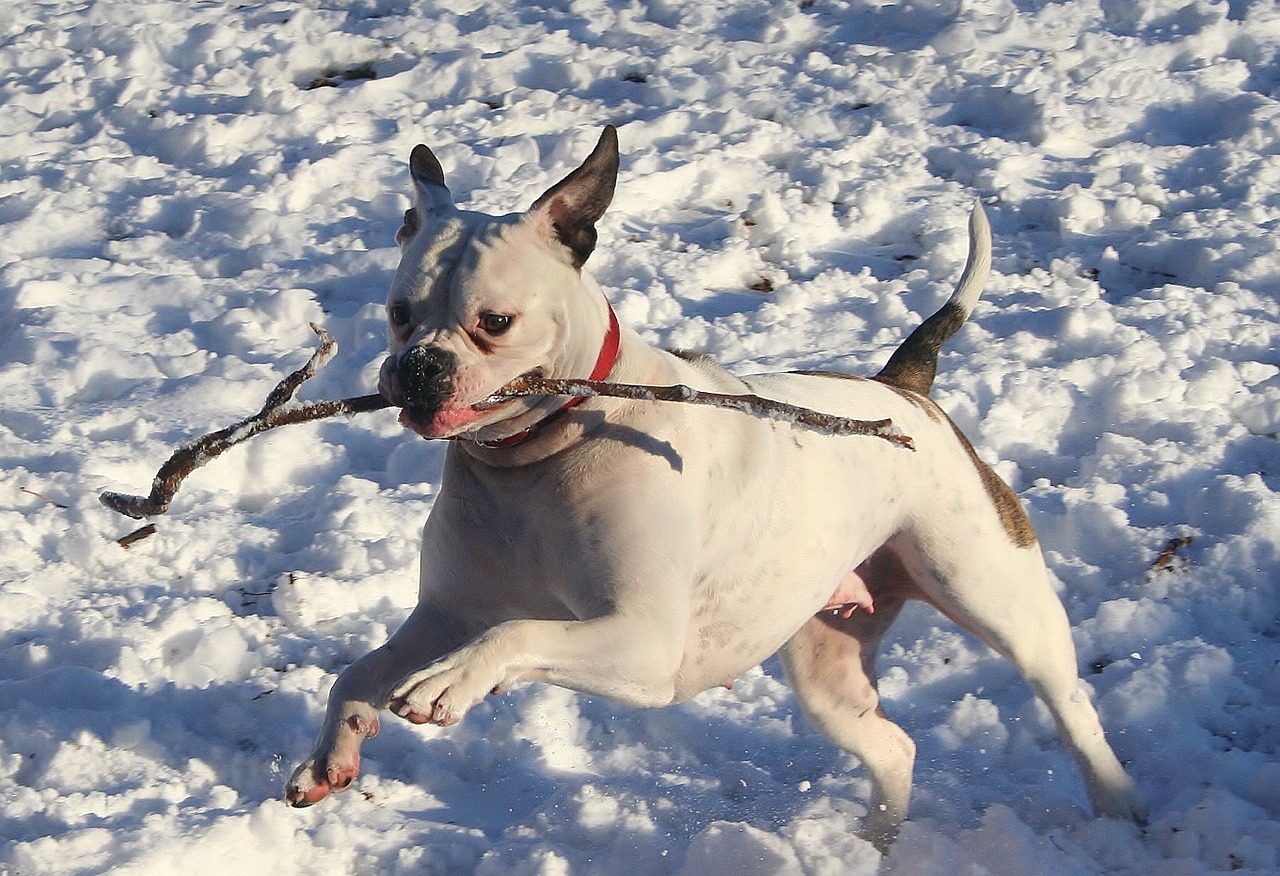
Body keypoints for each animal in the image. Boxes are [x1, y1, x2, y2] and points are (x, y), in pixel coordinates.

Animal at [285, 124, 1146, 850]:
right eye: (399, 314)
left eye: (493, 321)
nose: (419, 368)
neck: (536, 458)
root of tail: (904, 390)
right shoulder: (448, 613)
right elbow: (358, 672)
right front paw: (333, 755)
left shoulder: (642, 643)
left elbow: (516, 635)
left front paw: (451, 684)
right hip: (827, 666)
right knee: (892, 746)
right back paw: (874, 846)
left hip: (996, 594)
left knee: (1071, 708)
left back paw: (1121, 808)